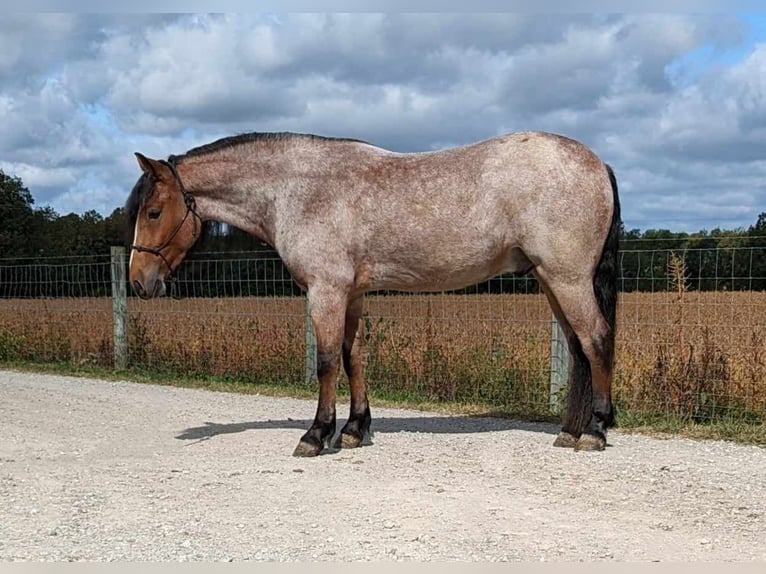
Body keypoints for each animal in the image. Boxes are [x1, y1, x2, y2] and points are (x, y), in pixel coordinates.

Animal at [124, 130, 616, 460]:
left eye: (153, 212)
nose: (138, 281)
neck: (298, 189)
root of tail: (598, 163)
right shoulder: (353, 293)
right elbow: (353, 356)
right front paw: (355, 429)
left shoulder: (326, 291)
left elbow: (326, 362)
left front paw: (316, 435)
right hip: (551, 279)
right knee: (577, 348)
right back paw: (570, 431)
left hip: (568, 278)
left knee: (596, 340)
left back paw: (595, 430)